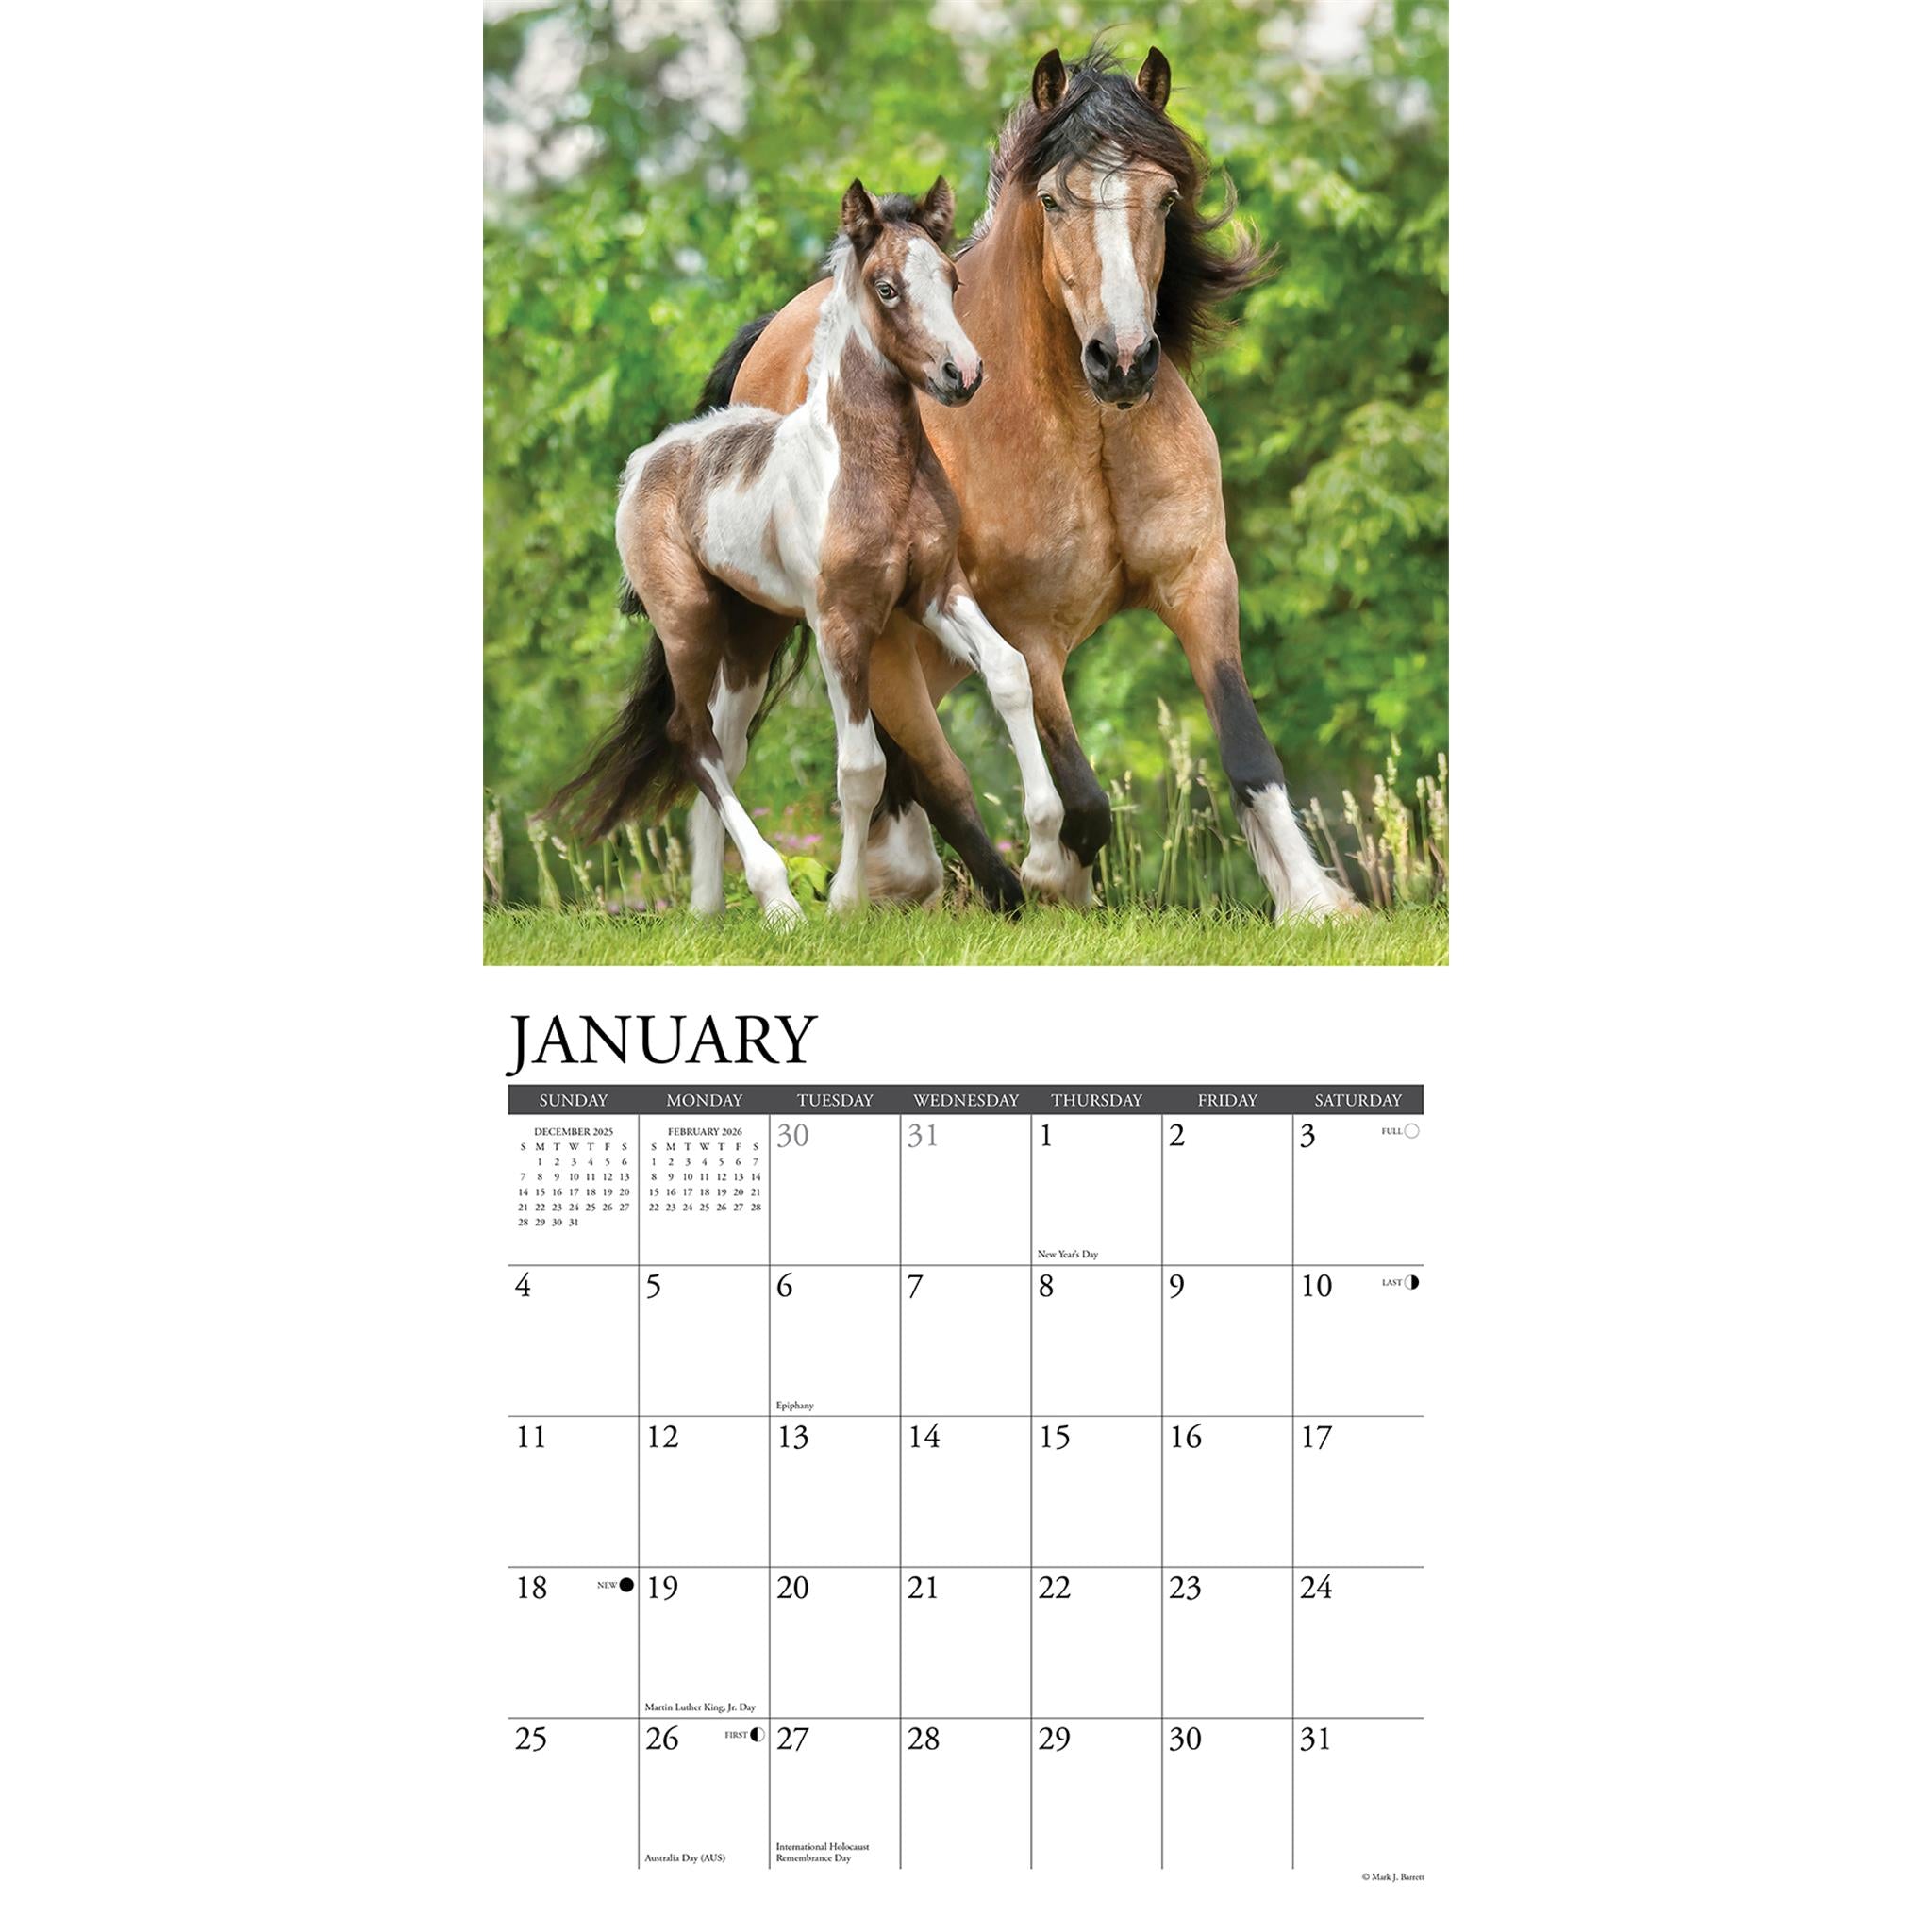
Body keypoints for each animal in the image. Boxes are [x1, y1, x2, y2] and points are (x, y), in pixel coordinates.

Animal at [549, 177, 1060, 923]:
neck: (873, 470)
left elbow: (1009, 671)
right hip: (689, 623)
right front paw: (846, 903)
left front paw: (1046, 854)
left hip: (752, 637)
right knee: (690, 738)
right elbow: (862, 766)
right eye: (885, 287)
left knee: (725, 745)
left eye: (953, 279)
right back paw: (779, 902)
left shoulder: (937, 592)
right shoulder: (841, 623)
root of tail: (648, 459)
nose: (961, 373)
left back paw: (710, 909)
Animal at [720, 44, 1358, 922]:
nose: (1121, 361)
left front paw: (1315, 901)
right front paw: (1058, 876)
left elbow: (1248, 752)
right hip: (883, 643)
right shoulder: (1028, 631)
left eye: (1165, 198)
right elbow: (1082, 794)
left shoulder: (1200, 581)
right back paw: (932, 885)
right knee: (931, 774)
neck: (1084, 429)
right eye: (1053, 199)